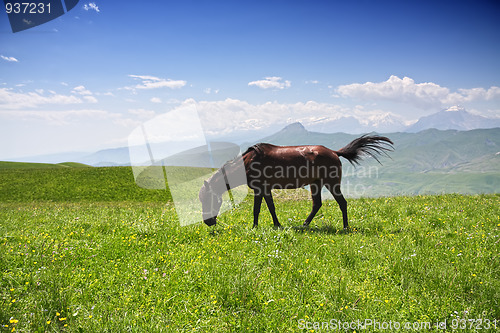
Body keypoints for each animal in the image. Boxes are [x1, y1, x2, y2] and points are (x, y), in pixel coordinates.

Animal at [197, 135, 392, 228]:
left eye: (208, 199)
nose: (208, 222)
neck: (247, 162)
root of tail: (334, 152)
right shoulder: (263, 189)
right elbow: (267, 207)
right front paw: (270, 225)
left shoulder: (261, 188)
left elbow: (260, 208)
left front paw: (259, 226)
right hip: (316, 183)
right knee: (317, 204)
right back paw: (305, 224)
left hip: (331, 183)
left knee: (342, 202)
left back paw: (345, 227)